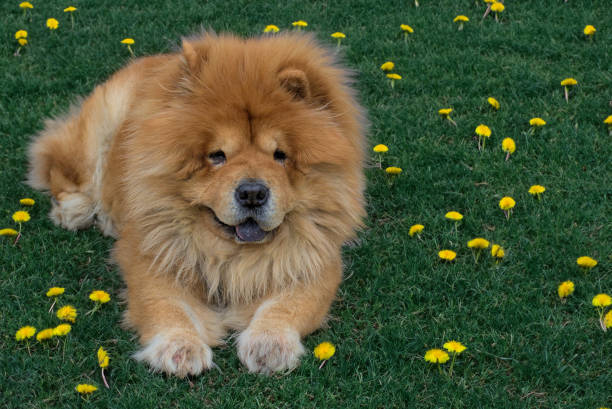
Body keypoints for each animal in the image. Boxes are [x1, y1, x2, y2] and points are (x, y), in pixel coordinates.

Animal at [26, 32, 366, 376]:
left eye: (280, 155)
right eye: (217, 155)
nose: (252, 193)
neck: (229, 254)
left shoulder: (315, 258)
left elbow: (289, 303)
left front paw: (269, 345)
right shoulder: (152, 256)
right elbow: (167, 306)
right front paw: (180, 348)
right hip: (97, 131)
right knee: (61, 167)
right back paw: (76, 210)